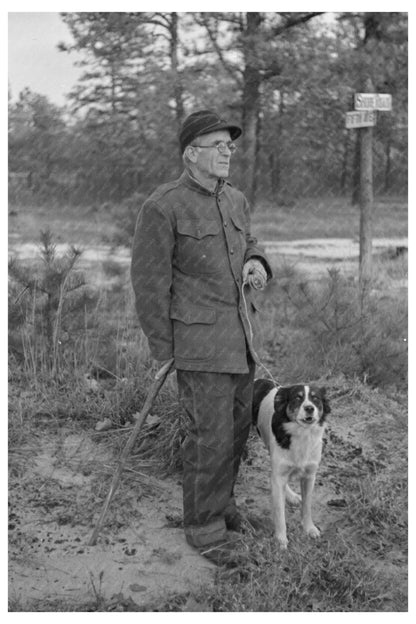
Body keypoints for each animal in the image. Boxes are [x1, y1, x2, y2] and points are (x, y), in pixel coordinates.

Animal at [252, 378, 330, 548]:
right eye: (297, 398)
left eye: (316, 399)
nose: (309, 408)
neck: (302, 434)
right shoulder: (279, 474)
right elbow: (279, 512)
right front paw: (281, 539)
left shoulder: (309, 476)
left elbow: (307, 506)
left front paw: (309, 528)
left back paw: (291, 495)